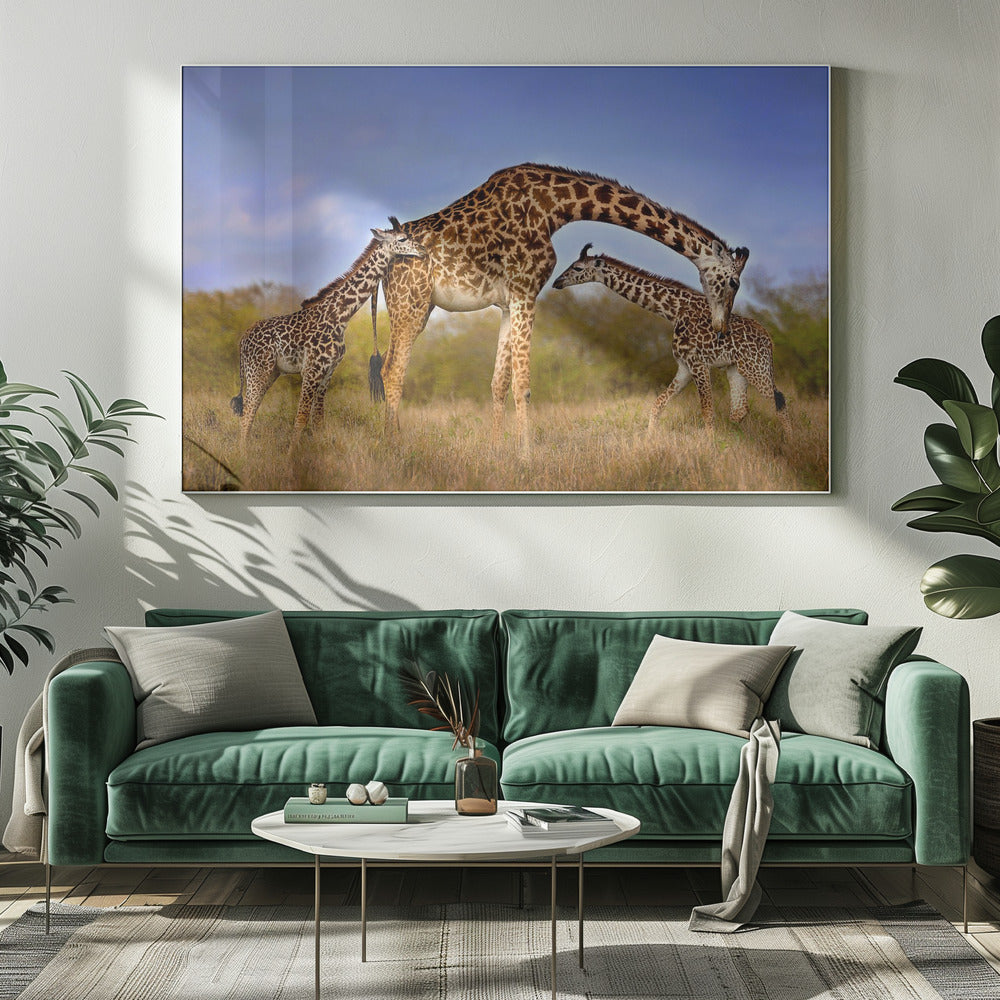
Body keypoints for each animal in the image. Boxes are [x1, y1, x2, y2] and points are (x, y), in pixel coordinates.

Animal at [230, 219, 426, 447]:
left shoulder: (328, 371)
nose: (423, 250)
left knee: (249, 414)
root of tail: (242, 340)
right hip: (258, 371)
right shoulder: (311, 370)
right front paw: (291, 455)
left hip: (270, 373)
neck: (340, 316)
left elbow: (318, 421)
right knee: (247, 416)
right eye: (402, 239)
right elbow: (301, 418)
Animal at [375, 163, 749, 455]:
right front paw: (527, 457)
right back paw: (395, 448)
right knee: (393, 370)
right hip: (412, 304)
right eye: (733, 282)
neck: (555, 206)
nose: (721, 327)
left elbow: (499, 383)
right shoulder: (526, 289)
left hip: (417, 307)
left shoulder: (509, 302)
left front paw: (496, 451)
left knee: (390, 368)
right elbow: (523, 384)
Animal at [552, 245, 789, 437]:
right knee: (740, 410)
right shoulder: (684, 367)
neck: (673, 311)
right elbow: (658, 404)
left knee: (779, 400)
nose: (557, 282)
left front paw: (710, 446)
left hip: (756, 367)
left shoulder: (698, 363)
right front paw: (649, 440)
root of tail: (769, 340)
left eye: (578, 268)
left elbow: (707, 410)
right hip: (736, 370)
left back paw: (789, 445)